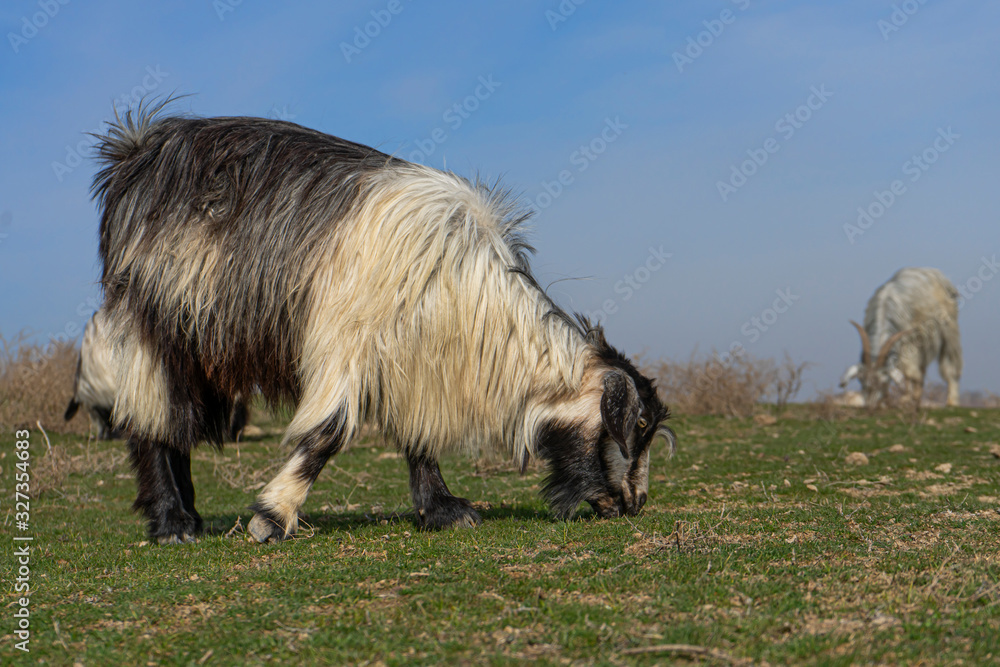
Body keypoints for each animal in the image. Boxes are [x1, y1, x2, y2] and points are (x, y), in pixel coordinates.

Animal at [91, 104, 676, 544]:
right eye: (635, 426)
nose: (633, 504)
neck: (463, 286)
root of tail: (137, 148)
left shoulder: (411, 360)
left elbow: (420, 435)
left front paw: (443, 509)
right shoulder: (346, 340)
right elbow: (327, 433)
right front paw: (272, 516)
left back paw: (187, 513)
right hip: (153, 321)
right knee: (151, 418)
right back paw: (172, 522)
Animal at [840, 267, 962, 407]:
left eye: (883, 381)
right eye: (861, 380)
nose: (871, 404)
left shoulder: (909, 342)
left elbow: (908, 372)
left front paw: (905, 400)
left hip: (949, 329)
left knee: (950, 361)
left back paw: (951, 401)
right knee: (921, 370)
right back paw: (917, 398)